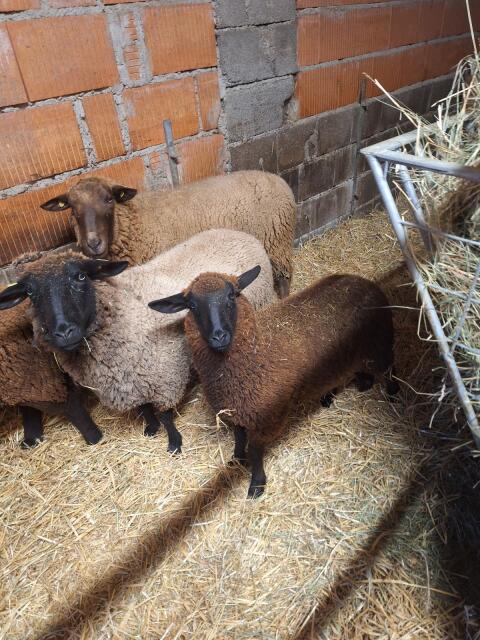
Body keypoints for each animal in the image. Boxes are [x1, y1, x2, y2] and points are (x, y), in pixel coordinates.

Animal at [0, 230, 276, 452]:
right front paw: (150, 429)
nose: (64, 332)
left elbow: (165, 415)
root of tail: (237, 232)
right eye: (30, 293)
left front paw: (174, 443)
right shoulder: (131, 381)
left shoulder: (166, 375)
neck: (125, 310)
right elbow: (144, 409)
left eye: (80, 277)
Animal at [39, 170, 296, 298]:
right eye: (71, 207)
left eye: (109, 199)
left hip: (277, 240)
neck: (135, 221)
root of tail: (275, 177)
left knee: (284, 276)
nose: (92, 243)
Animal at [149, 268, 399, 498]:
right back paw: (352, 386)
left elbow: (255, 450)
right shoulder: (235, 410)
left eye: (232, 295)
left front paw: (257, 483)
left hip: (380, 345)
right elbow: (239, 438)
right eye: (191, 305)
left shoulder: (266, 417)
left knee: (389, 367)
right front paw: (236, 459)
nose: (219, 336)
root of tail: (361, 279)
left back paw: (392, 392)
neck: (256, 350)